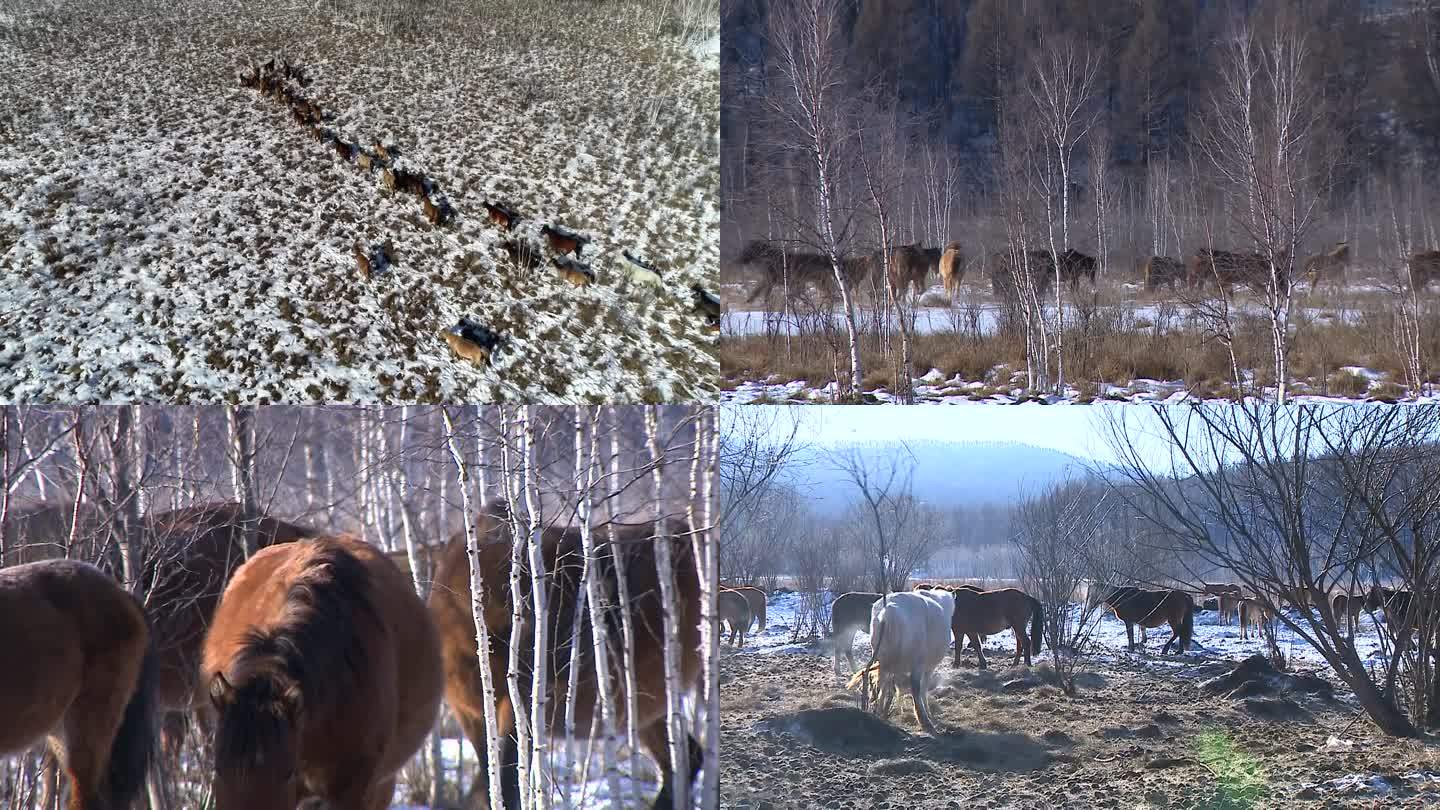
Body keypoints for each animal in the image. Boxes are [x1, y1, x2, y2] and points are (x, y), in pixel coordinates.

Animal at [426, 498, 702, 807]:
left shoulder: (517, 704)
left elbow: (504, 785)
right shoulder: (471, 714)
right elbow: (491, 784)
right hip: (645, 707)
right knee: (684, 759)